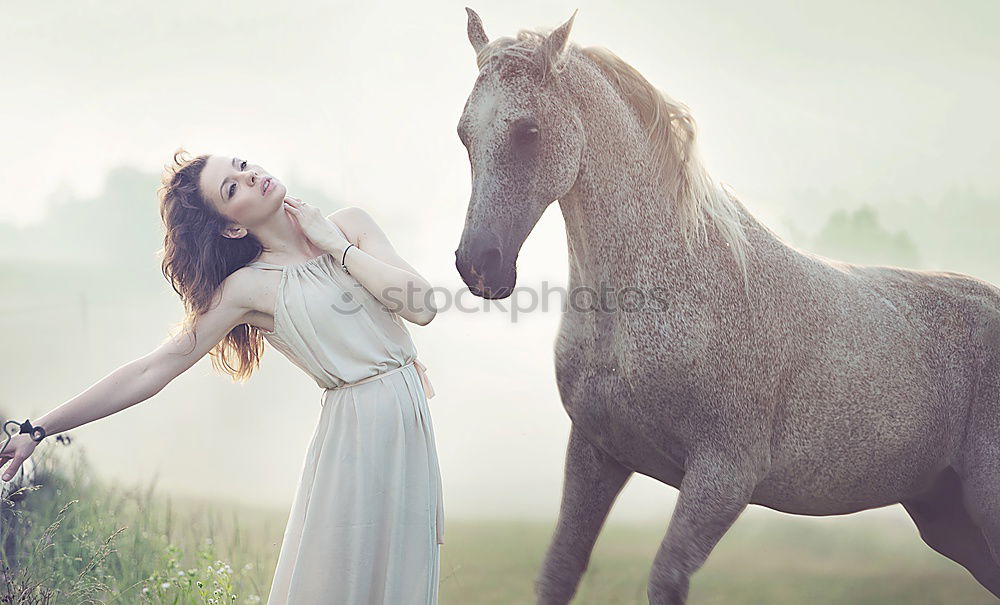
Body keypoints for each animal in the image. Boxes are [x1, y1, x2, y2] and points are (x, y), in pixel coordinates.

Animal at [452, 5, 1000, 604]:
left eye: (528, 131)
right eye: (463, 134)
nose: (479, 265)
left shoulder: (723, 478)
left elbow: (666, 578)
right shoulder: (596, 454)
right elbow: (559, 571)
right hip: (950, 519)